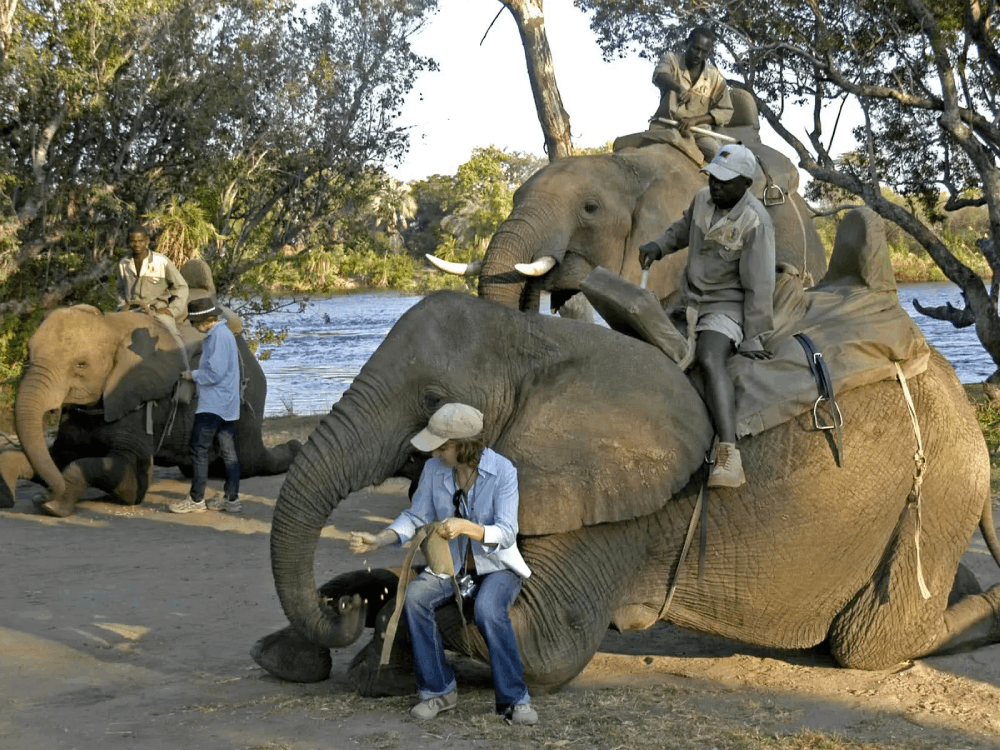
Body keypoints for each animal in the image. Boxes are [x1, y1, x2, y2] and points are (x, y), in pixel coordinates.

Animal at [3, 294, 300, 516]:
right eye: (28, 354)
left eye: (81, 365)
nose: (45, 494)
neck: (111, 326)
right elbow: (52, 456)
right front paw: (12, 496)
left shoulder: (139, 400)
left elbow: (125, 476)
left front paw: (53, 506)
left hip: (248, 401)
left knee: (249, 461)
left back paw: (295, 448)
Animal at [252, 214, 1000, 696]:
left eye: (433, 399)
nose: (340, 617)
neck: (543, 345)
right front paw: (349, 611)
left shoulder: (623, 504)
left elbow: (541, 637)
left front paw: (374, 630)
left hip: (944, 480)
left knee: (869, 645)